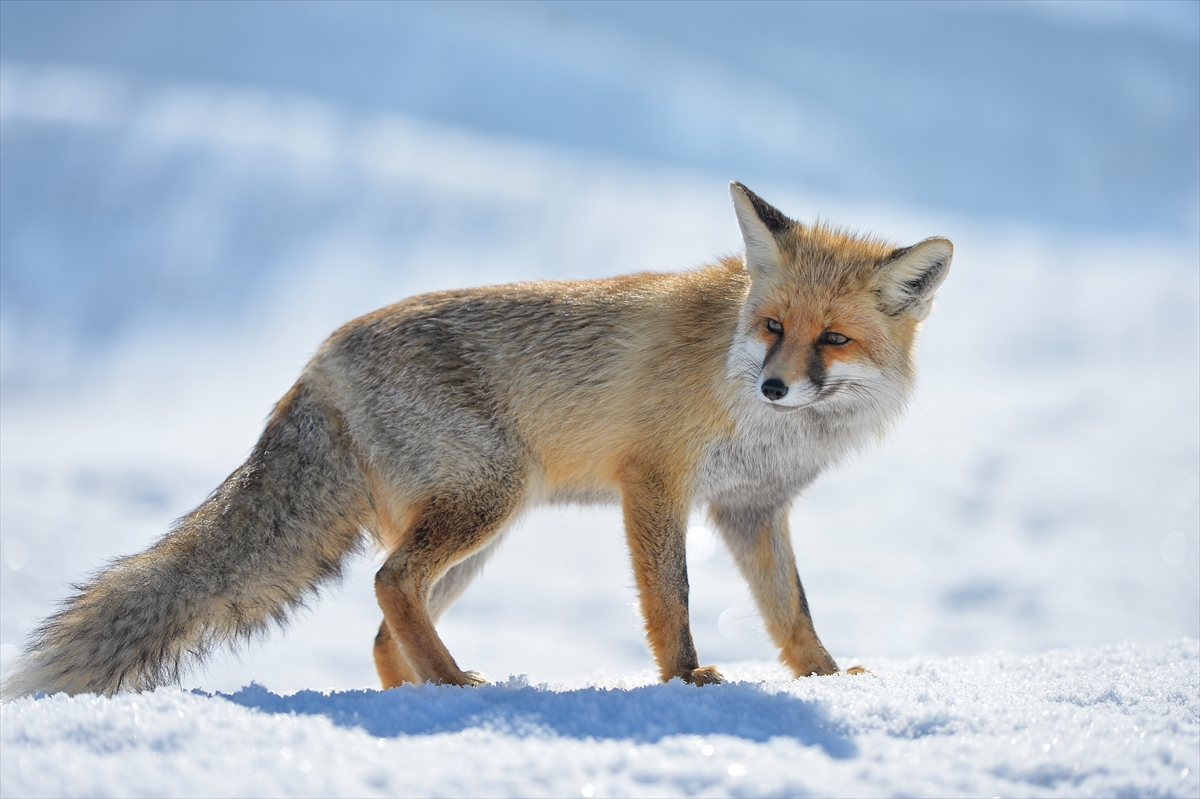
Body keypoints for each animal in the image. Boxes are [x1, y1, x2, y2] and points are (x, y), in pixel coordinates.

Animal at [4, 183, 950, 695]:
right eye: (774, 326)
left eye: (833, 340)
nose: (773, 386)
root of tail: (318, 359)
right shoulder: (653, 482)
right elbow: (672, 601)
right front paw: (685, 682)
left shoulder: (751, 509)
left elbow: (792, 610)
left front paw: (829, 677)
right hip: (490, 499)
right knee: (388, 585)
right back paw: (455, 683)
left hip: (478, 535)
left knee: (383, 626)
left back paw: (425, 703)